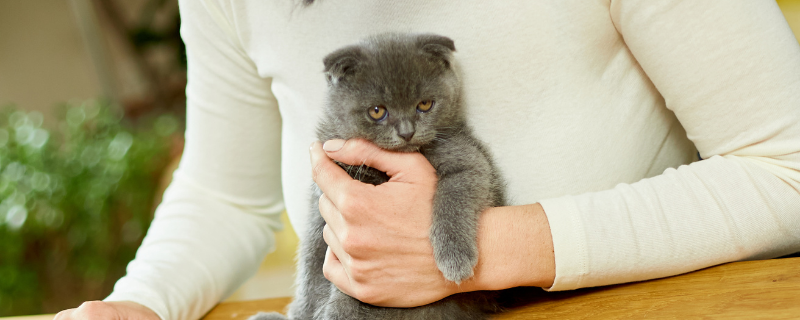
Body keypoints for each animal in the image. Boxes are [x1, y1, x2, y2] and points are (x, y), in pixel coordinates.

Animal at [250, 33, 506, 320]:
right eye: (376, 111)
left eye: (424, 105)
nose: (407, 132)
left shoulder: (469, 159)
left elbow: (454, 197)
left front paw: (455, 258)